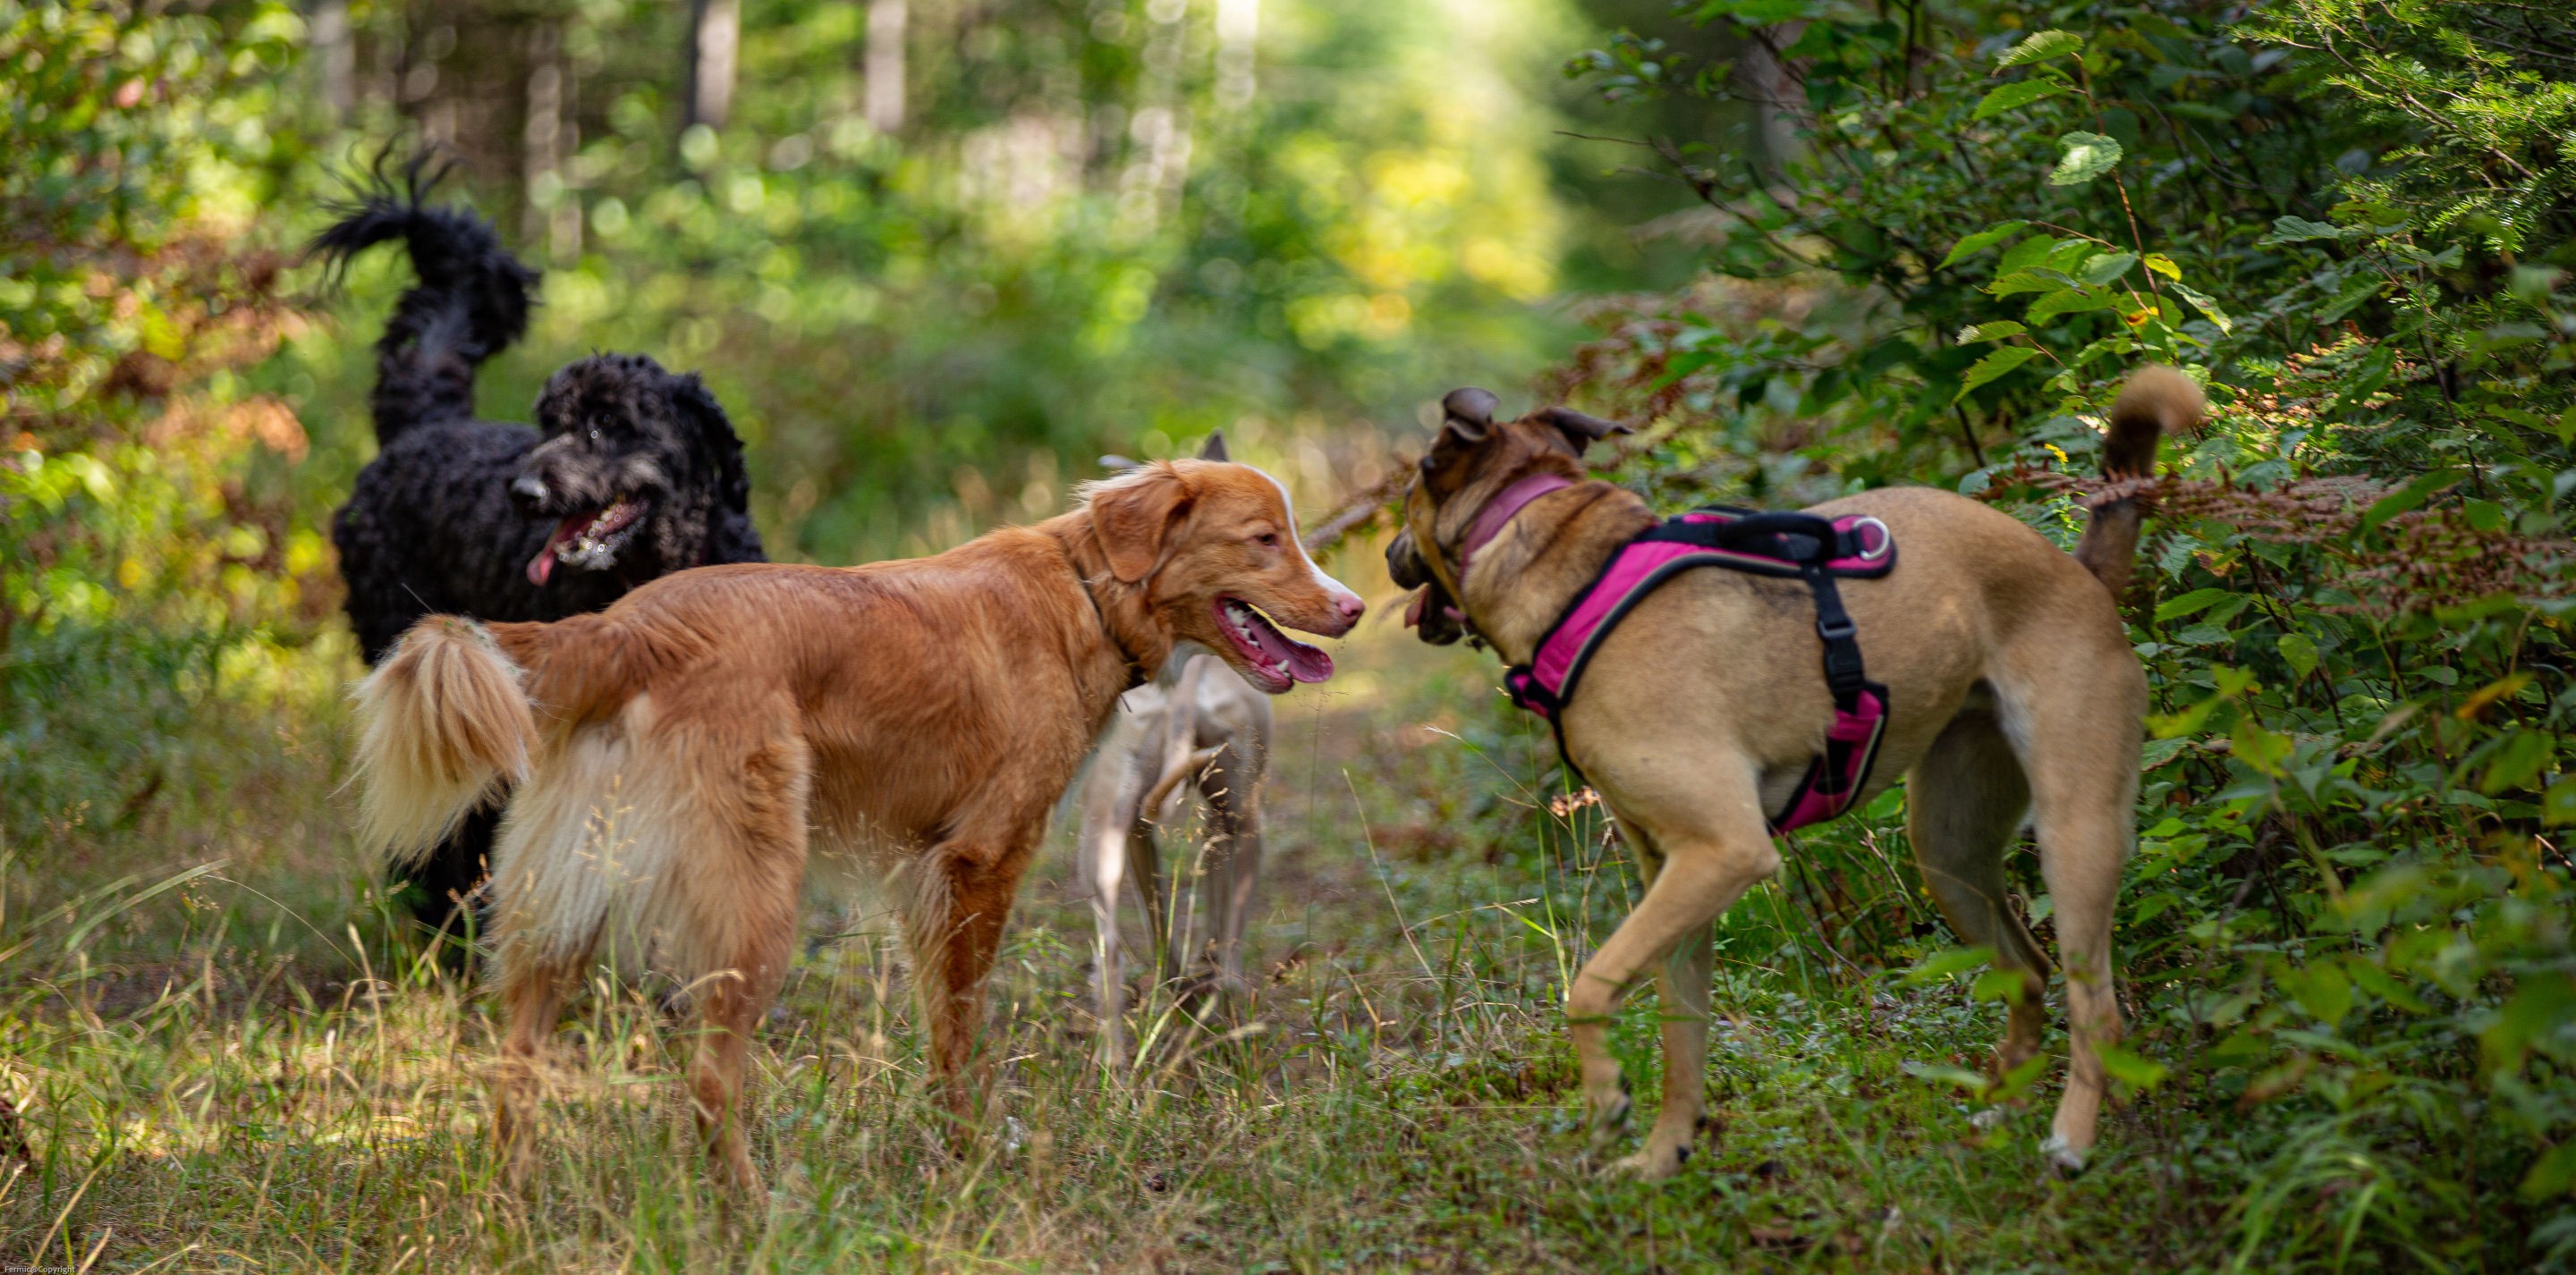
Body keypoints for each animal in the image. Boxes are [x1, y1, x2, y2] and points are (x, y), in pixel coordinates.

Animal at [352, 460, 1380, 1195]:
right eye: (1264, 540)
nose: (1356, 606)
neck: (1085, 590)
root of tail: (623, 626)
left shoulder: (931, 873)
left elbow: (945, 1029)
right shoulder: (983, 860)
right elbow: (962, 1032)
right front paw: (969, 1156)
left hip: (556, 920)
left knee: (516, 1077)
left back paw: (512, 1209)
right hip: (755, 910)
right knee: (710, 1087)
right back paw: (753, 1213)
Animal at [1391, 366, 2194, 1179]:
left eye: (1408, 496)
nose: (1391, 554)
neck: (1575, 581)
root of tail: (2081, 572)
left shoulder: (1723, 851)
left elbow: (1588, 989)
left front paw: (1608, 1098)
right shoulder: (1678, 879)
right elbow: (1682, 1042)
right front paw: (1663, 1155)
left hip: (2075, 833)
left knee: (2097, 1008)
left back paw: (2072, 1139)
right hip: (1949, 849)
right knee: (2027, 971)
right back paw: (2007, 1110)